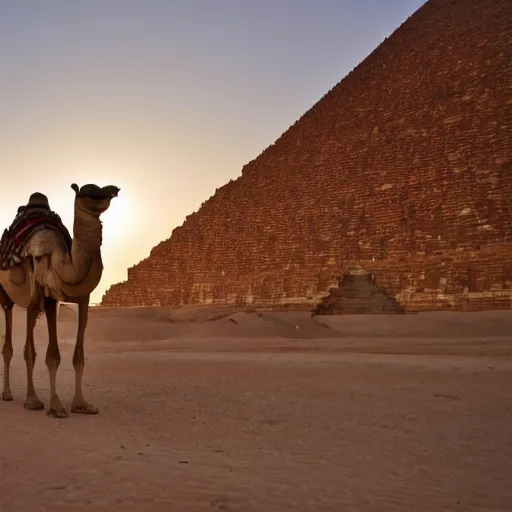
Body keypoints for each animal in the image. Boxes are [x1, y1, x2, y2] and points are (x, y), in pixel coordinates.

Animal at [0, 182, 119, 418]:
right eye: (89, 193)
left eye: (106, 190)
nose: (113, 192)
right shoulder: (48, 297)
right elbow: (52, 356)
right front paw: (55, 406)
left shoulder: (83, 299)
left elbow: (78, 357)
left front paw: (81, 404)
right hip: (6, 296)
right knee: (11, 344)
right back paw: (12, 395)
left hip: (31, 304)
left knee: (28, 343)